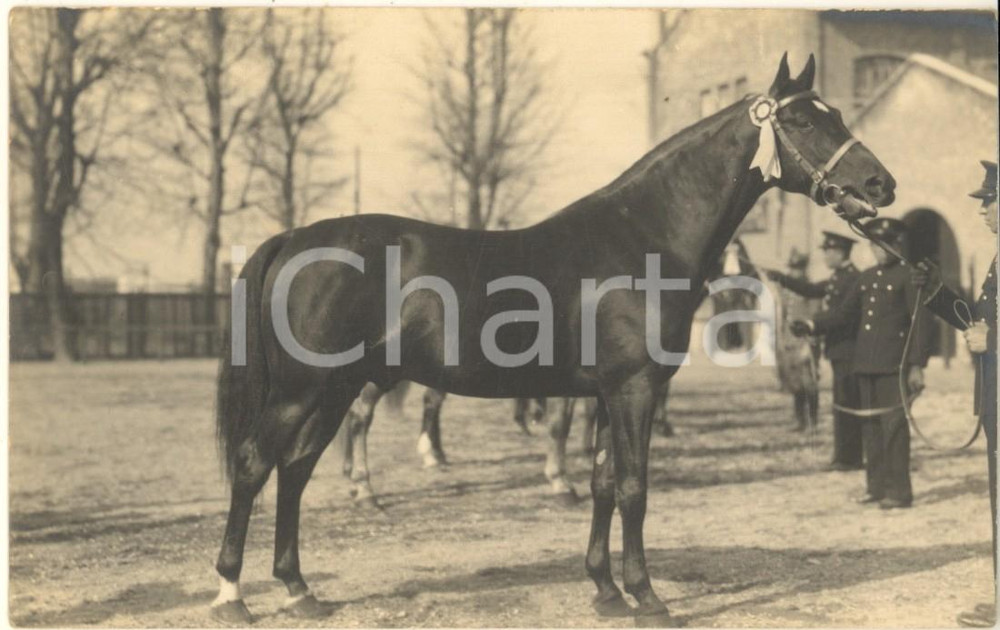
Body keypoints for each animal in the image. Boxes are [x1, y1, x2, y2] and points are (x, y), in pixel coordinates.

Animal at [211, 53, 894, 626]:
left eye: (835, 114)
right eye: (802, 120)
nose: (880, 185)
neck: (641, 239)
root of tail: (294, 239)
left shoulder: (606, 395)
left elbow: (601, 483)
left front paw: (606, 590)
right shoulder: (635, 390)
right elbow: (634, 488)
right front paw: (647, 598)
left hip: (336, 389)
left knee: (295, 469)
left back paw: (299, 589)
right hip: (302, 391)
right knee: (253, 465)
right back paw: (231, 595)